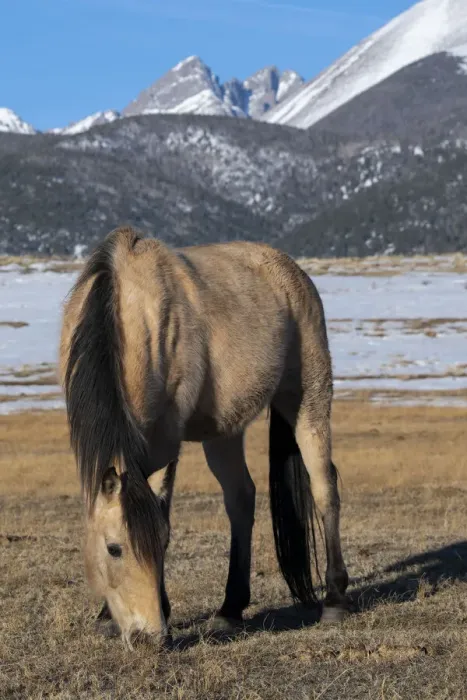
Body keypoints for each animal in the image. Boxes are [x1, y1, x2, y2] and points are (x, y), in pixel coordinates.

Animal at [59, 226, 348, 649]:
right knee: (241, 497)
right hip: (224, 432)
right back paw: (230, 609)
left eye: (160, 543)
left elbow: (162, 508)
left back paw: (334, 600)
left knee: (324, 486)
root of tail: (293, 272)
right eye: (113, 549)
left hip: (308, 397)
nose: (149, 638)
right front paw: (107, 618)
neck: (126, 309)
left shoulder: (166, 437)